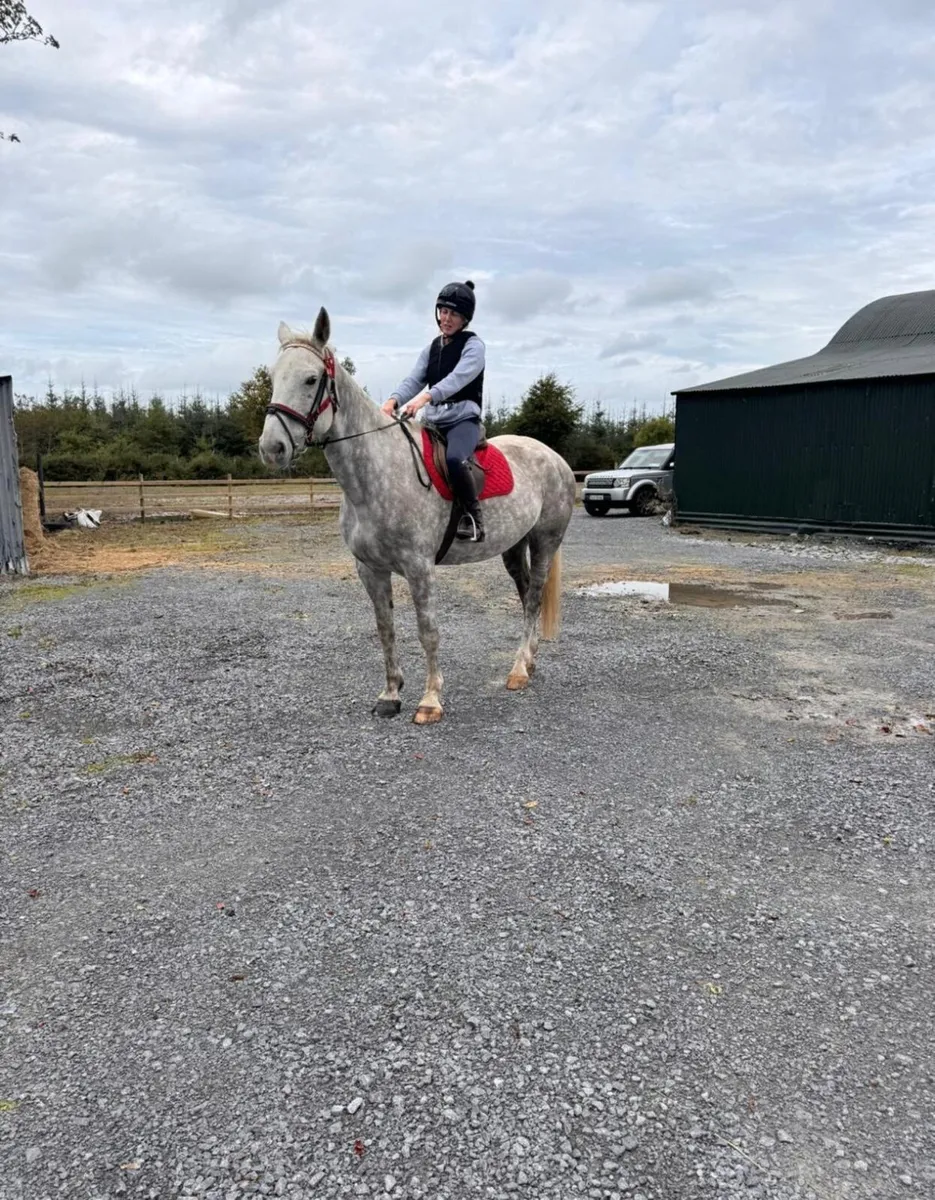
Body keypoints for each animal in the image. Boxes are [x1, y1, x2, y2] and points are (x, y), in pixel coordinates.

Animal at [258, 308, 576, 724]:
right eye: (273, 376)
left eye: (311, 379)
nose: (272, 448)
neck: (375, 475)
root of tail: (554, 457)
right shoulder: (370, 569)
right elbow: (385, 628)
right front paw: (391, 694)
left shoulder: (419, 567)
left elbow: (428, 630)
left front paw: (430, 701)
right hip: (513, 546)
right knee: (525, 596)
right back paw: (529, 661)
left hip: (543, 542)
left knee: (535, 596)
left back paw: (520, 670)